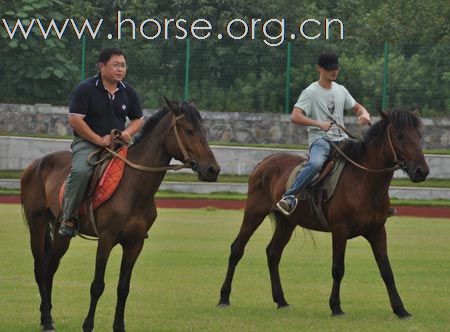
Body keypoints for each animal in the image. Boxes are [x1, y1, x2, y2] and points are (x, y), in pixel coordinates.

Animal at [20, 99, 221, 332]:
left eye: (204, 131)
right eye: (189, 130)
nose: (213, 169)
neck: (134, 186)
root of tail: (35, 164)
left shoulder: (135, 243)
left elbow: (123, 287)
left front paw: (119, 326)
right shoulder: (106, 240)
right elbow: (97, 285)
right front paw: (88, 325)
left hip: (60, 232)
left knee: (49, 268)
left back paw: (47, 317)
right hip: (38, 224)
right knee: (40, 269)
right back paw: (47, 320)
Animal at [218, 108, 428, 316]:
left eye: (418, 136)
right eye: (400, 135)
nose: (421, 171)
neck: (364, 183)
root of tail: (264, 161)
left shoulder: (377, 231)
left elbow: (386, 270)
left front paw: (400, 309)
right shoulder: (340, 230)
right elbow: (338, 268)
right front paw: (335, 306)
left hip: (287, 222)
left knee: (273, 253)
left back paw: (281, 300)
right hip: (254, 213)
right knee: (237, 249)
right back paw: (224, 298)